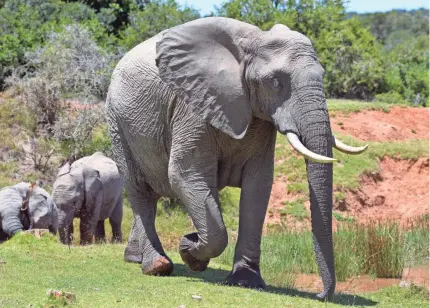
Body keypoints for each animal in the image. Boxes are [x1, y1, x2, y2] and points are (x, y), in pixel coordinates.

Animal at [106, 17, 368, 300]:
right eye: (276, 82)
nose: (321, 296)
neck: (254, 42)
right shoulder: (192, 107)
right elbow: (184, 175)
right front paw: (190, 249)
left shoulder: (259, 116)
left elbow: (259, 185)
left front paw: (244, 281)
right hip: (117, 122)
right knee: (138, 190)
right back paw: (156, 266)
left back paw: (135, 258)